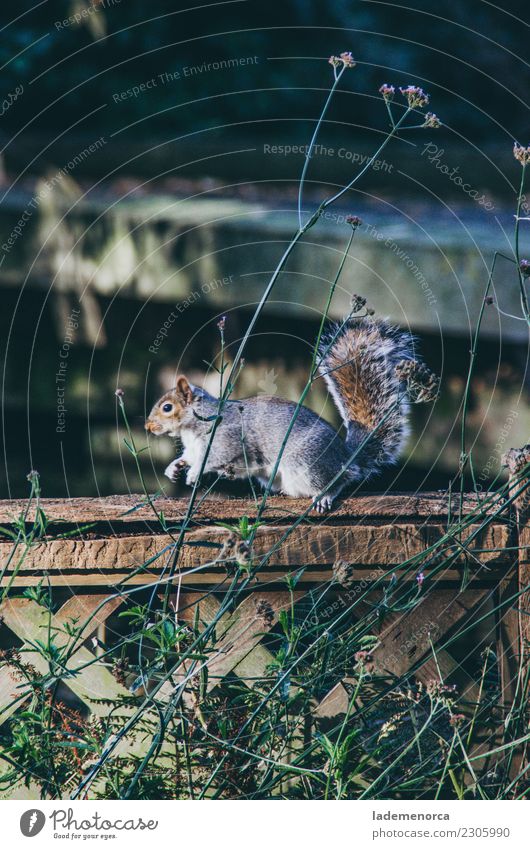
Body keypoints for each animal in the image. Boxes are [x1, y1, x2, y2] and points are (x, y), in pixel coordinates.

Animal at [142, 314, 436, 506]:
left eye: (167, 407)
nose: (148, 426)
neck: (194, 427)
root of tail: (346, 456)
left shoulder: (226, 441)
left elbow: (211, 459)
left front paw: (193, 472)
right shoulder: (194, 446)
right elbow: (189, 457)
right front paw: (175, 467)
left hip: (306, 463)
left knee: (343, 478)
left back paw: (326, 495)